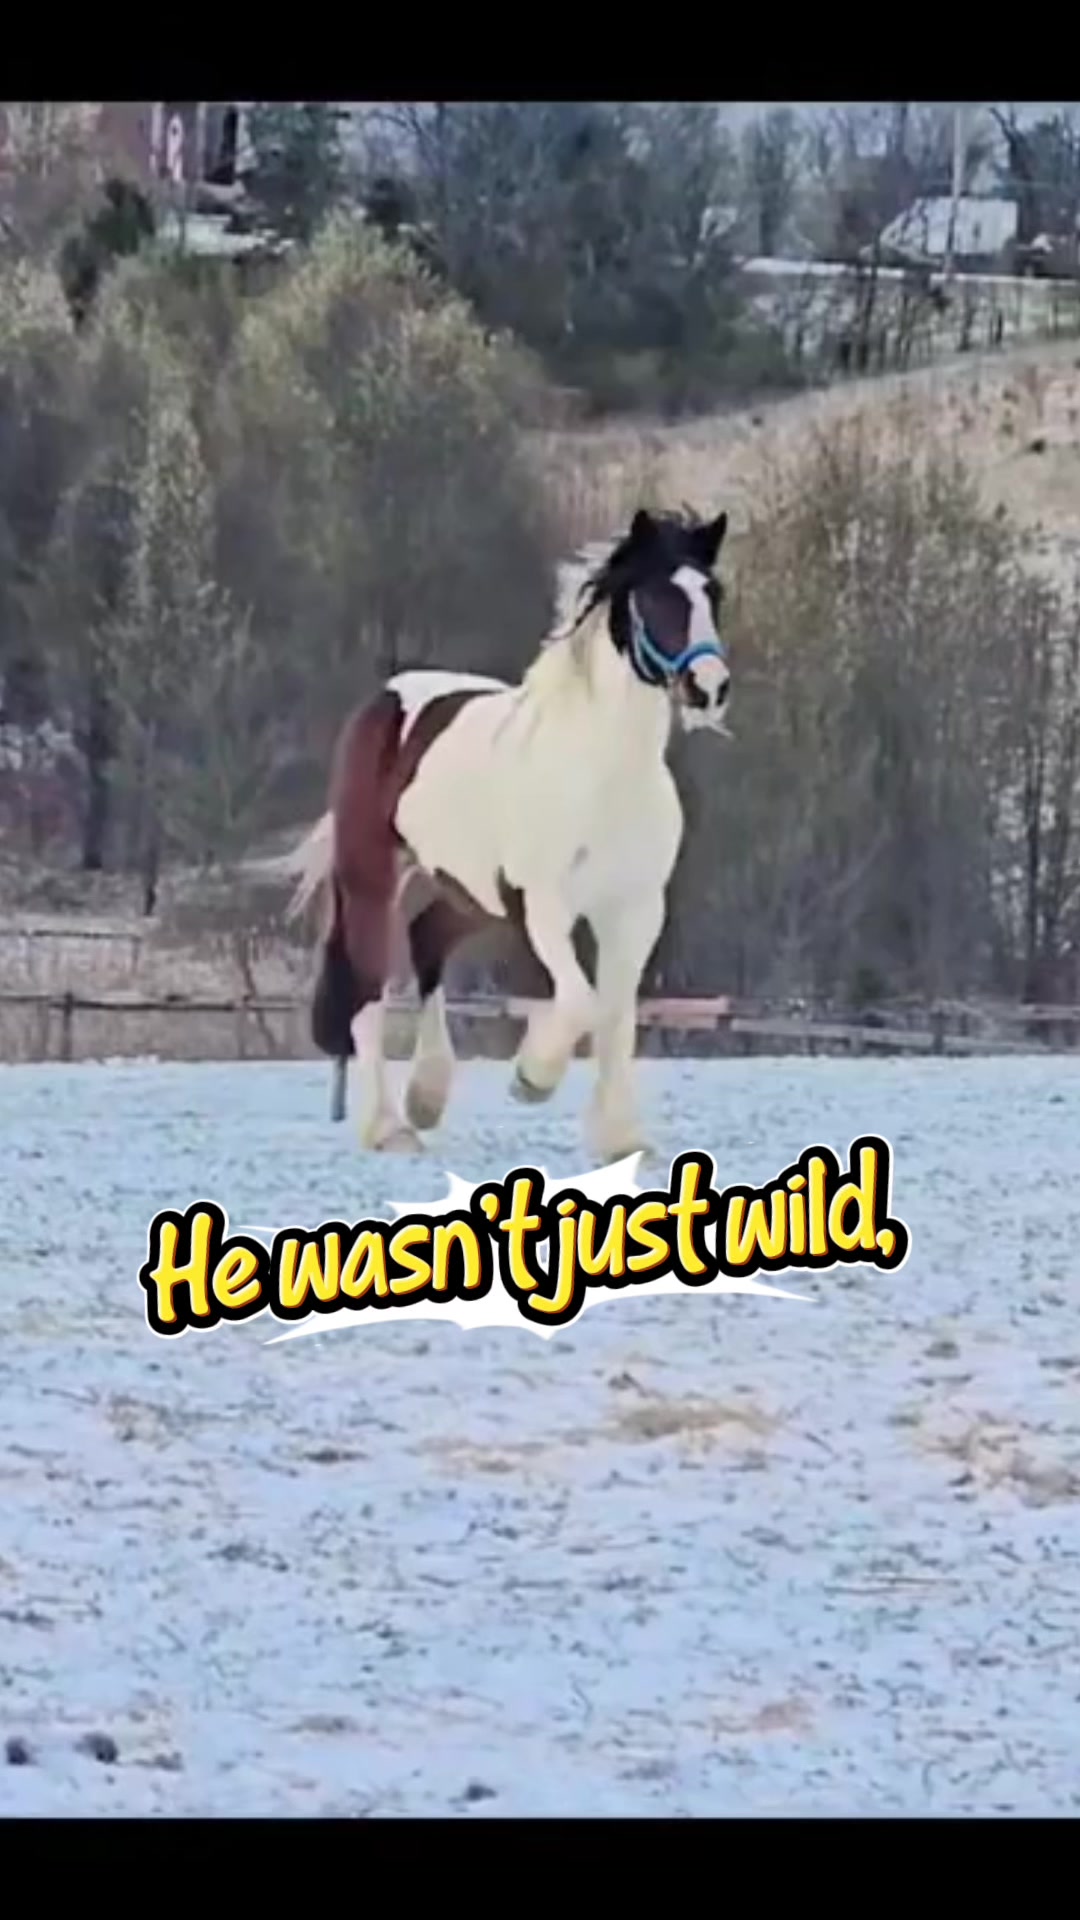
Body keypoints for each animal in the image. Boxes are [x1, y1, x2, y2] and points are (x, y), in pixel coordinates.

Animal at [273, 504, 733, 1162]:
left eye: (712, 593)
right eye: (654, 597)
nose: (709, 687)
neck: (600, 770)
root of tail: (384, 699)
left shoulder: (636, 910)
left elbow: (617, 1017)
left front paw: (621, 1139)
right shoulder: (542, 904)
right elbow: (581, 1002)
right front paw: (531, 1079)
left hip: (468, 891)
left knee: (427, 942)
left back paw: (426, 1098)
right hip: (372, 878)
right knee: (368, 989)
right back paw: (390, 1127)